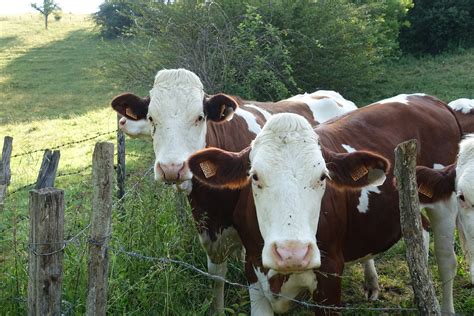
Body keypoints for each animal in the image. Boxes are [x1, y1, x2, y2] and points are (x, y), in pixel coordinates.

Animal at [109, 68, 358, 312]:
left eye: (200, 117)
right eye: (152, 118)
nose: (172, 168)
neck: (213, 200)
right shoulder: (211, 232)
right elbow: (217, 278)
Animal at [187, 94, 462, 316]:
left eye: (323, 177)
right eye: (254, 176)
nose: (292, 252)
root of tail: (428, 99)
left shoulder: (330, 279)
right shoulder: (253, 271)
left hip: (444, 200)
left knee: (446, 260)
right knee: (420, 231)